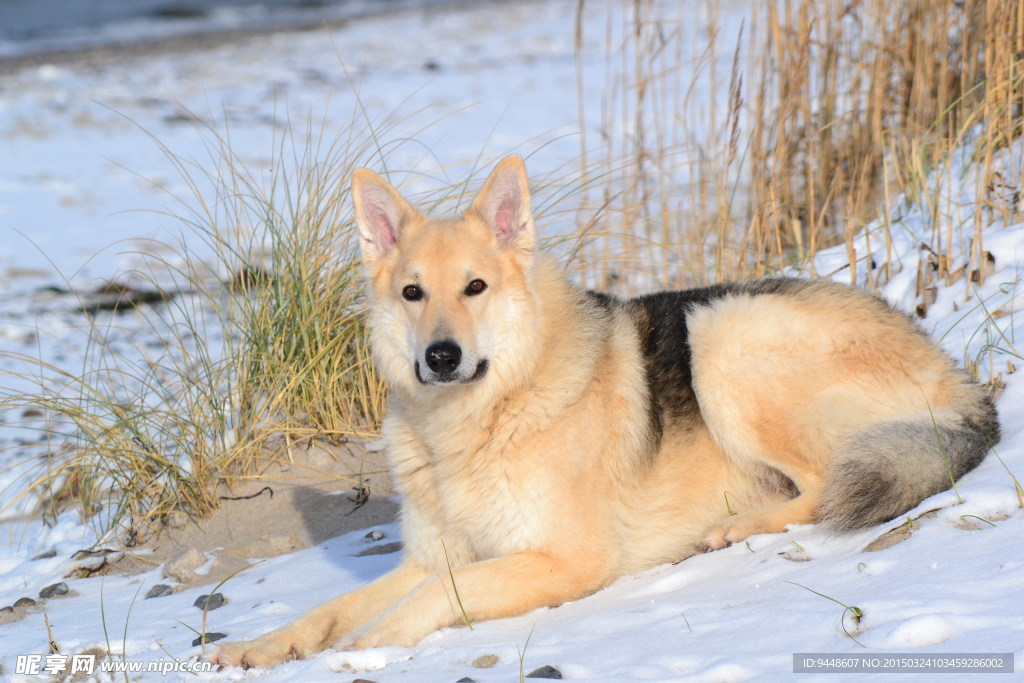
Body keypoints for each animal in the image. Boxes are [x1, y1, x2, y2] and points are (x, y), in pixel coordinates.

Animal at [209, 154, 999, 667]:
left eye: (475, 287)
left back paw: (733, 527)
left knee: (823, 487)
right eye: (412, 293)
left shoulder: (564, 558)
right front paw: (262, 645)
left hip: (724, 332)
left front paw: (367, 646)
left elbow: (439, 593)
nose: (440, 356)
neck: (486, 415)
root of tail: (962, 382)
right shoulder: (437, 553)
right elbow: (331, 607)